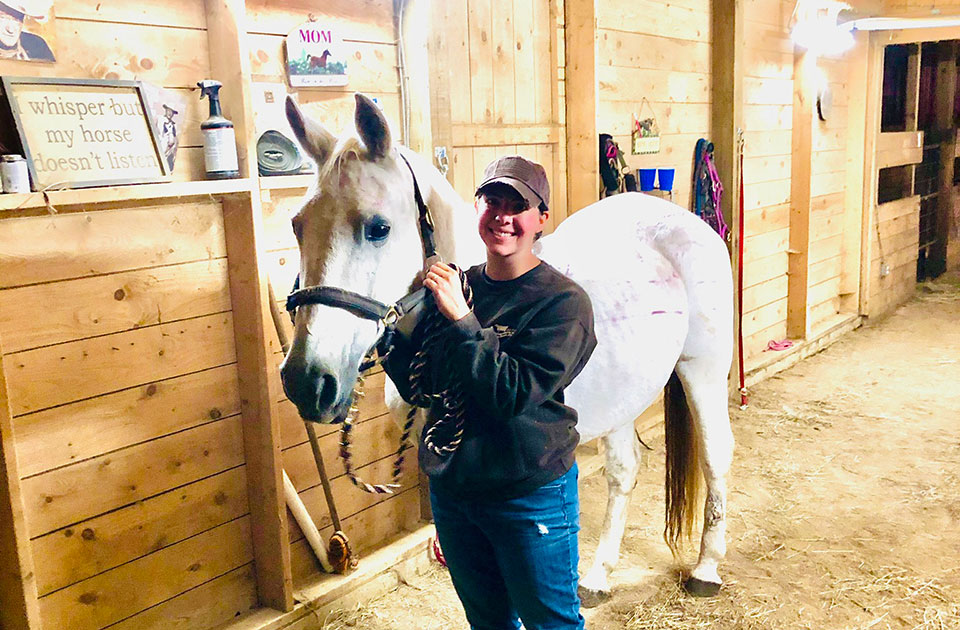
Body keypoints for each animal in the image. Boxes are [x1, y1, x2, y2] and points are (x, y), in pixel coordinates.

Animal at [279, 93, 735, 605]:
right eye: (297, 226)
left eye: (377, 228)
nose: (307, 382)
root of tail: (684, 221)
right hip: (624, 395)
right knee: (624, 471)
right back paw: (598, 576)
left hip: (703, 369)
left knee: (716, 454)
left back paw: (706, 569)